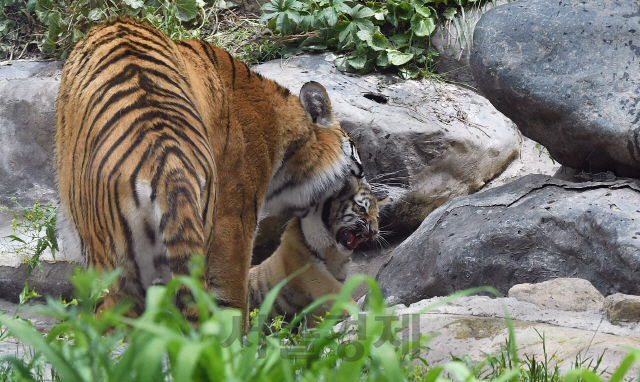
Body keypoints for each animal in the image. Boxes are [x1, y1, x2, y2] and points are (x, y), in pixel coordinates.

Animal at [245, 177, 384, 326]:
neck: (333, 251)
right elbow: (334, 290)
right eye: (362, 209)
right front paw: (354, 309)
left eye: (377, 217)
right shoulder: (309, 268)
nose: (375, 232)